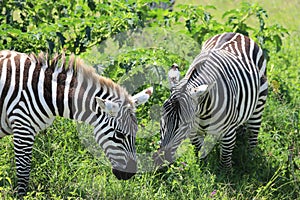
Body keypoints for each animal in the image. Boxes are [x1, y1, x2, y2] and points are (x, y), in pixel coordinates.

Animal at [0, 50, 151, 195]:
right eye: (119, 135)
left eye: (136, 133)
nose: (130, 174)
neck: (46, 91)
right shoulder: (22, 127)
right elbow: (23, 173)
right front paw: (21, 195)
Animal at [155, 32, 268, 169]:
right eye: (161, 119)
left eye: (184, 125)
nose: (161, 161)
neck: (203, 111)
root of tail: (237, 33)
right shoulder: (194, 132)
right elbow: (199, 149)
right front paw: (203, 166)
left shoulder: (228, 132)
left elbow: (225, 158)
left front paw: (226, 174)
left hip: (259, 103)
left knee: (253, 135)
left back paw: (250, 160)